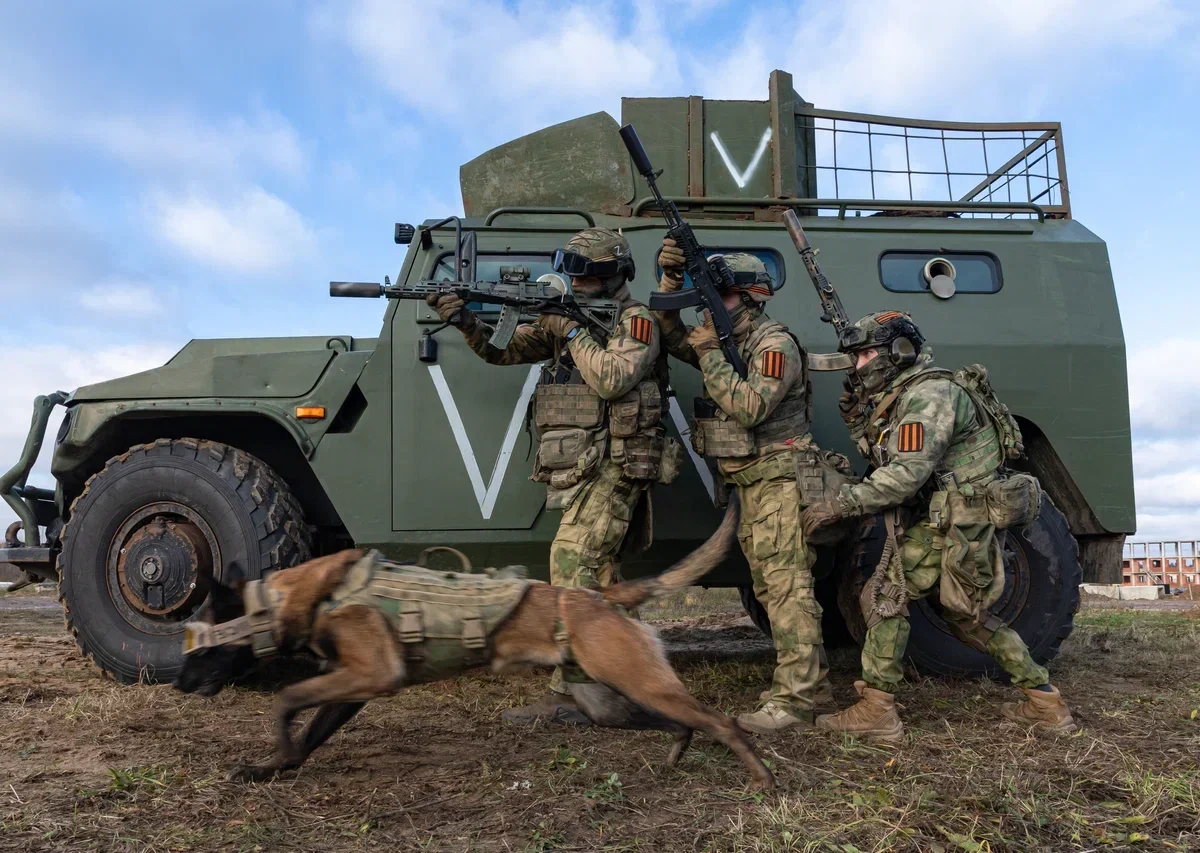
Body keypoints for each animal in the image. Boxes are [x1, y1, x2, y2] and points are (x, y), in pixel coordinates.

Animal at [174, 496, 772, 791]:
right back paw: (678, 754)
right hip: (611, 701)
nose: (176, 684)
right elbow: (310, 731)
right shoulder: (353, 688)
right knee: (680, 724)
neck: (302, 597)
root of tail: (597, 594)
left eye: (197, 642)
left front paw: (275, 751)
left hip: (639, 681)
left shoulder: (371, 676)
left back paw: (761, 779)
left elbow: (286, 700)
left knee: (721, 721)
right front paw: (271, 767)